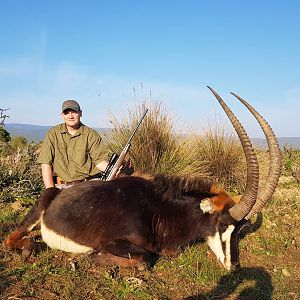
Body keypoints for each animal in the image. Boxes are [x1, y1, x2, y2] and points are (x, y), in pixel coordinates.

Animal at [3, 86, 282, 270]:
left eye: (240, 230)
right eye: (222, 224)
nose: (234, 267)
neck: (160, 210)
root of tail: (58, 192)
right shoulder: (114, 241)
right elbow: (144, 260)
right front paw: (89, 257)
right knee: (11, 239)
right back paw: (29, 247)